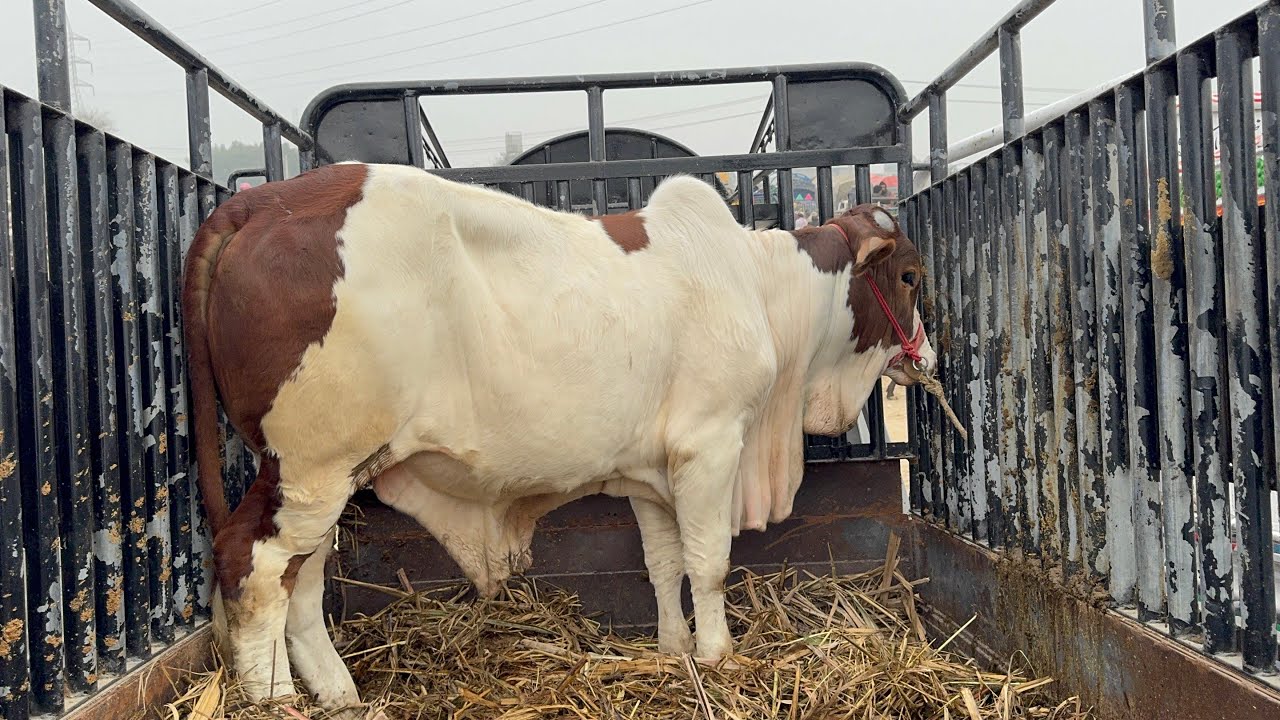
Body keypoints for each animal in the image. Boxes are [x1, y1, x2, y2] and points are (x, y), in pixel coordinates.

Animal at [182, 161, 935, 712]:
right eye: (909, 276)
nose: (925, 354)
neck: (758, 285)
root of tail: (256, 205)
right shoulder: (711, 445)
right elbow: (708, 563)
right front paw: (718, 656)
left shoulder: (653, 472)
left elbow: (664, 564)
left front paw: (673, 649)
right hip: (310, 468)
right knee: (252, 566)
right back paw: (275, 700)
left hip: (328, 480)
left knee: (300, 583)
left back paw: (339, 694)